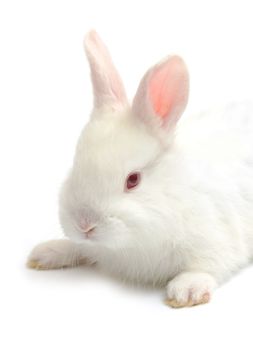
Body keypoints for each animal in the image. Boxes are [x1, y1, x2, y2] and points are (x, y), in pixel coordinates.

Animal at [27, 30, 253, 308]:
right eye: (75, 164)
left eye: (133, 180)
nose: (85, 225)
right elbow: (79, 248)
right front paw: (48, 251)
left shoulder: (218, 238)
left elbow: (208, 265)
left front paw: (186, 290)